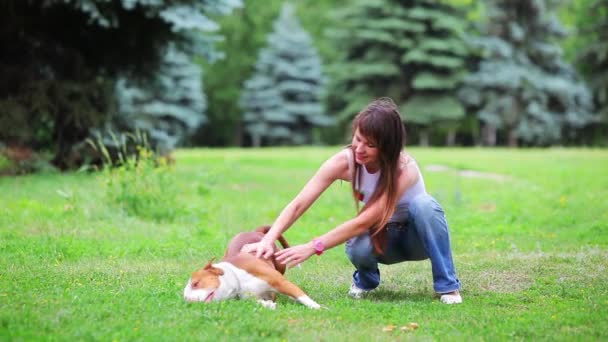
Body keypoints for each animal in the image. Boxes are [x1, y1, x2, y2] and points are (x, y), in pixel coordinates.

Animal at [183, 224, 320, 310]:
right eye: (185, 297)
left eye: (195, 284)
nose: (190, 302)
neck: (238, 280)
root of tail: (255, 231)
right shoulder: (252, 297)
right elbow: (260, 302)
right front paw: (269, 305)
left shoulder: (281, 282)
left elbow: (302, 296)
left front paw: (318, 307)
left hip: (280, 264)